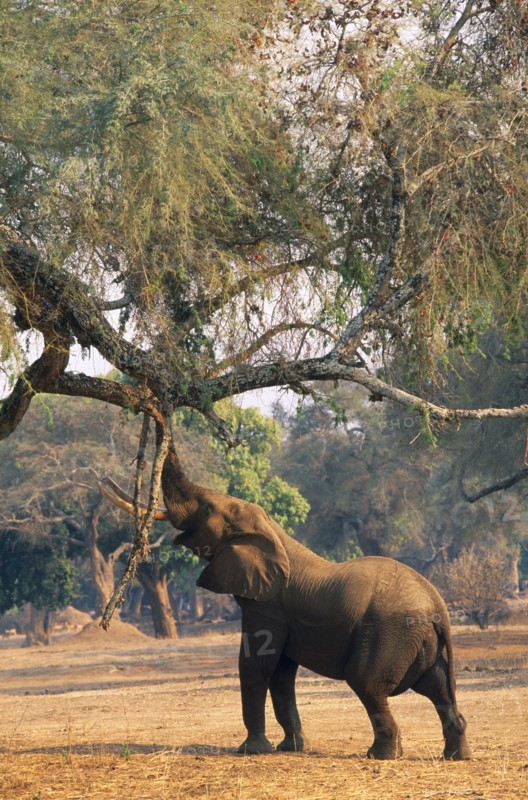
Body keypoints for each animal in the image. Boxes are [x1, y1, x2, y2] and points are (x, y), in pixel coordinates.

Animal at [101, 437, 471, 761]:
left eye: (206, 509)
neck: (273, 532)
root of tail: (439, 608)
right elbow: (281, 673)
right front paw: (289, 748)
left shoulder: (268, 607)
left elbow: (256, 664)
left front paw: (251, 750)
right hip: (420, 640)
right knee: (438, 689)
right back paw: (455, 757)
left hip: (390, 633)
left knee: (367, 683)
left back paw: (381, 756)